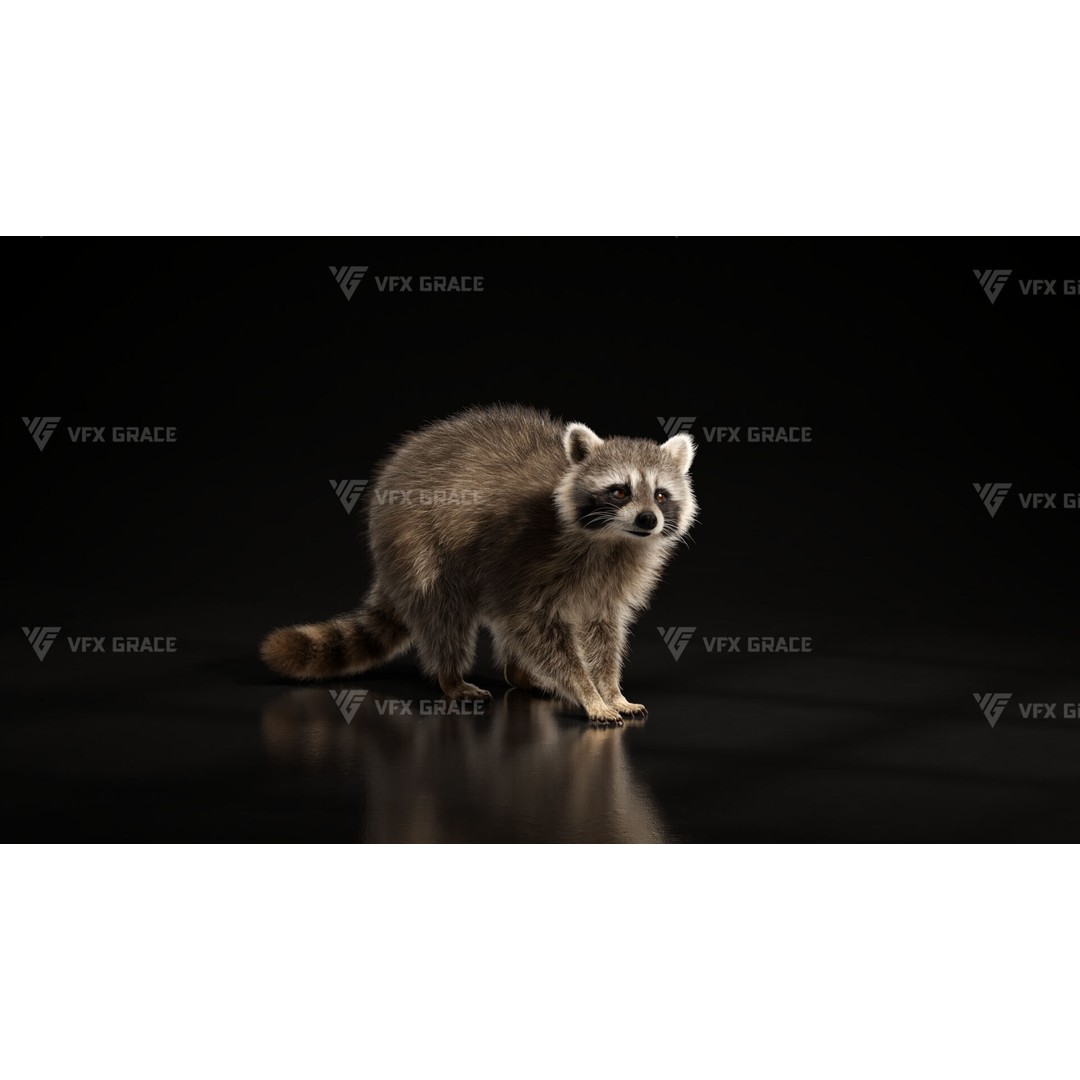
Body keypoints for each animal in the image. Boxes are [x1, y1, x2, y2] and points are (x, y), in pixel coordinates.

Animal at [259, 404, 697, 723]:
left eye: (661, 495)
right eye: (620, 491)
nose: (648, 520)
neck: (613, 540)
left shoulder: (613, 579)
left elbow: (603, 631)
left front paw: (610, 689)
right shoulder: (529, 553)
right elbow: (535, 623)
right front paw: (586, 691)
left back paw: (519, 673)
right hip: (418, 545)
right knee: (445, 615)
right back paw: (451, 676)